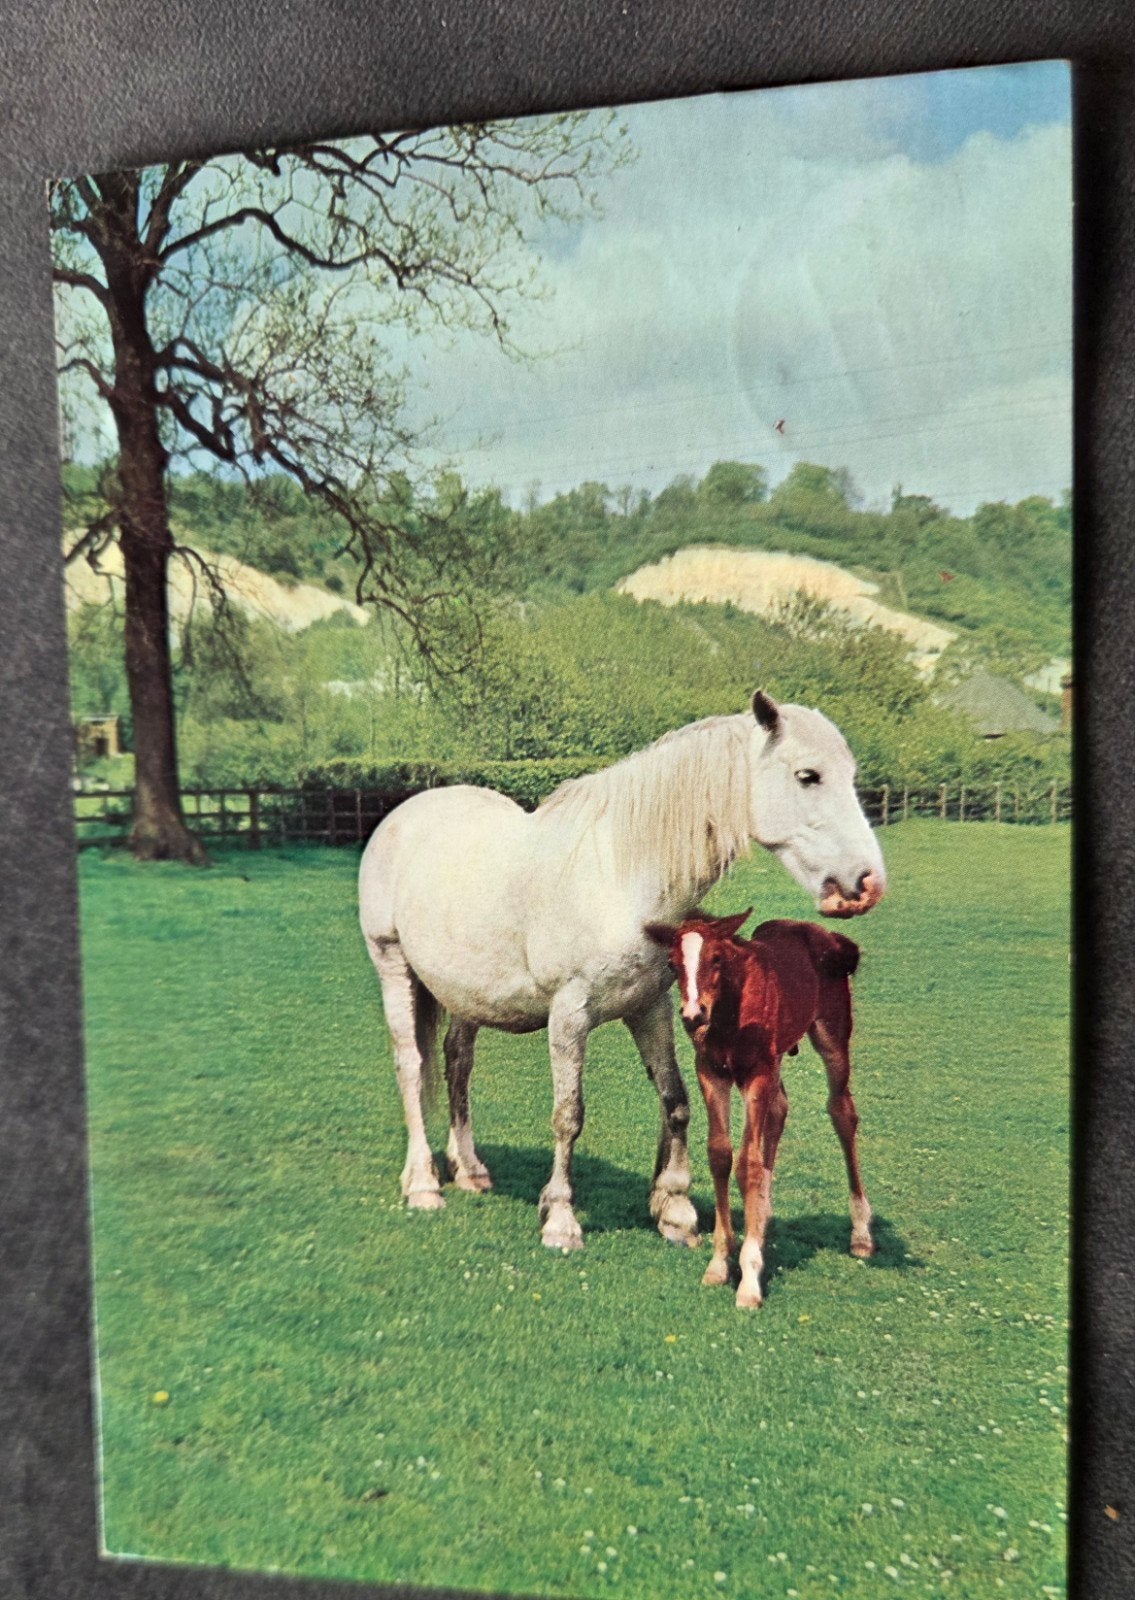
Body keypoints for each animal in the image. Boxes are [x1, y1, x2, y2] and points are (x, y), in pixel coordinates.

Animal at [357, 690, 885, 1253]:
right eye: (809, 776)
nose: (867, 883)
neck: (621, 876)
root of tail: (403, 815)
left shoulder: (650, 1007)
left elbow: (676, 1100)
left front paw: (675, 1210)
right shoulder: (569, 1016)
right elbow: (568, 1115)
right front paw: (560, 1218)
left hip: (465, 994)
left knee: (458, 1061)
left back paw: (470, 1169)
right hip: (393, 966)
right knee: (411, 1066)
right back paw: (423, 1183)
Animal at [645, 911, 873, 1307]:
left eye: (716, 959)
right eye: (672, 963)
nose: (693, 1015)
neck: (729, 1014)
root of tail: (828, 935)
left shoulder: (757, 1074)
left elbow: (748, 1165)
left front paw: (749, 1278)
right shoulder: (712, 1072)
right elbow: (720, 1154)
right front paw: (720, 1263)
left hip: (831, 1036)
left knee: (842, 1111)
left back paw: (861, 1233)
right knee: (780, 1108)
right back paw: (763, 1216)